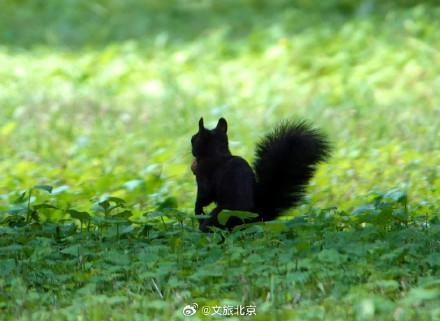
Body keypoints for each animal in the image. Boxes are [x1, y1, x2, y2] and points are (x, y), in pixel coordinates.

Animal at [189, 116, 330, 231]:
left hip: (221, 217)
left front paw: (198, 210)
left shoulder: (204, 176)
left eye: (193, 139)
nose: (191, 146)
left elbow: (204, 196)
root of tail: (256, 217)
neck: (217, 152)